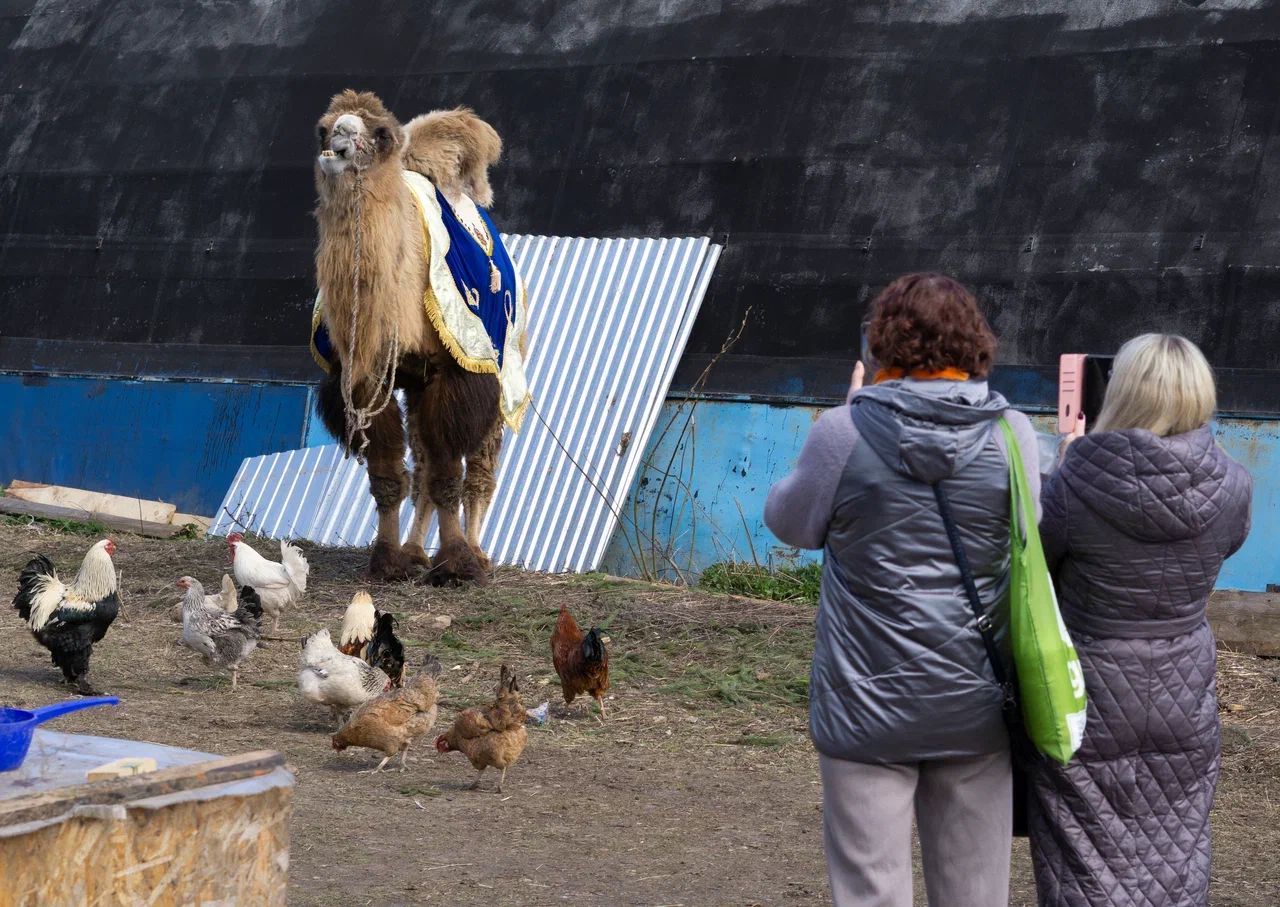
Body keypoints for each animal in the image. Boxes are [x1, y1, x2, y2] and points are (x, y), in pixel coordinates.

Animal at [312, 90, 520, 584]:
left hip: (501, 367)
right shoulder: (367, 379)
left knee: (479, 465)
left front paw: (458, 563)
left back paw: (478, 551)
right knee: (421, 466)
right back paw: (415, 550)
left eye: (380, 133)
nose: (340, 136)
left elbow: (447, 475)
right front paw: (389, 560)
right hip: (416, 383)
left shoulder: (457, 371)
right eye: (323, 127)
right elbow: (388, 475)